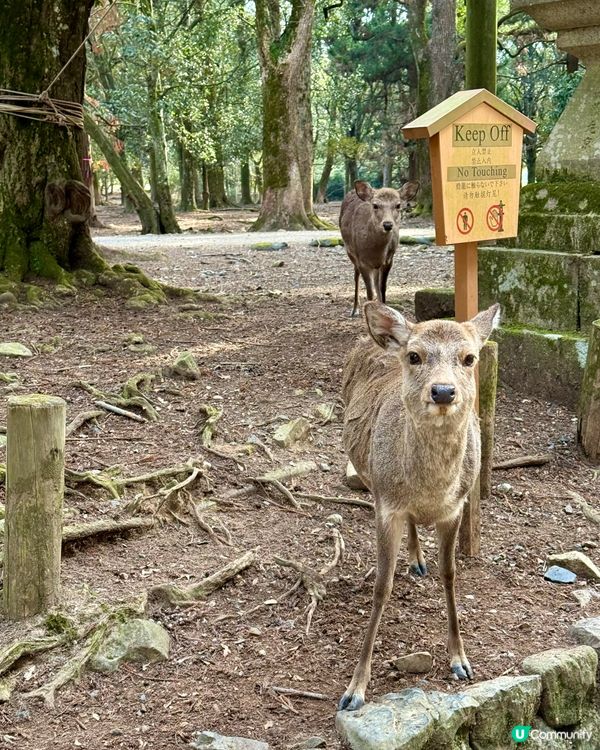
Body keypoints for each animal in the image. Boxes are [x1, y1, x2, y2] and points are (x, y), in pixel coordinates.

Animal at [338, 300, 501, 712]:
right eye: (414, 356)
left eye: (470, 358)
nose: (443, 391)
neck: (431, 492)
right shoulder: (387, 506)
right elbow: (382, 586)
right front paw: (355, 689)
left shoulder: (456, 506)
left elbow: (451, 574)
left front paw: (460, 661)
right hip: (368, 477)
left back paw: (417, 559)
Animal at [340, 180, 420, 318]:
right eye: (375, 205)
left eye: (398, 205)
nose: (387, 224)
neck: (376, 251)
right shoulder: (362, 261)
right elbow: (369, 293)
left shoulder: (389, 260)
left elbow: (382, 289)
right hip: (350, 252)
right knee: (356, 276)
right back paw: (355, 310)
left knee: (376, 283)